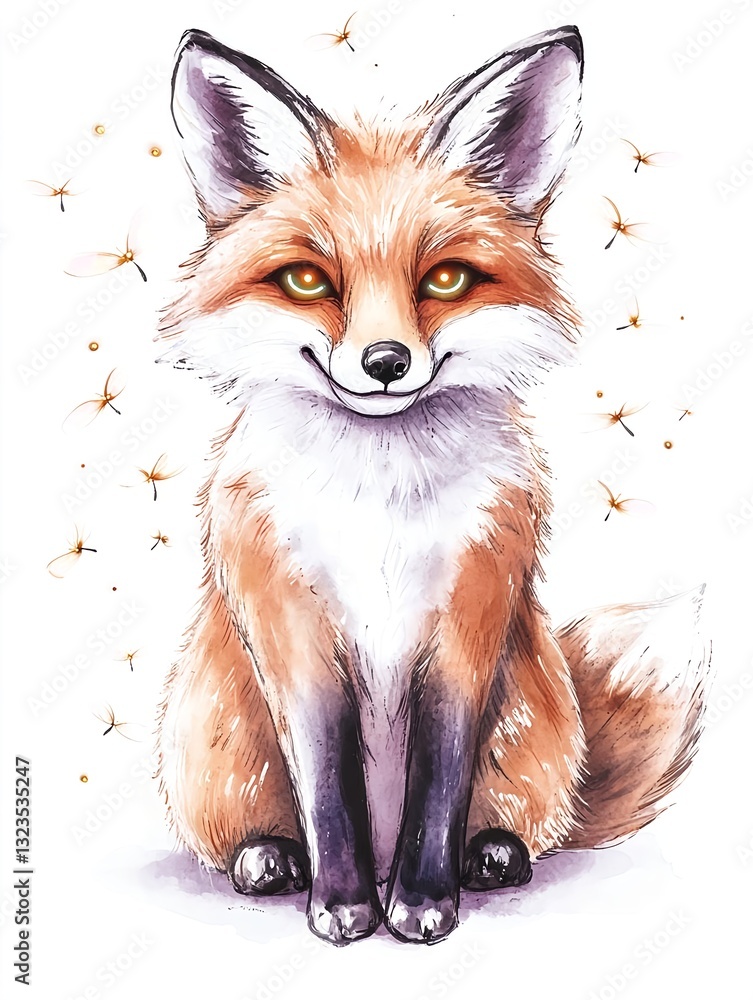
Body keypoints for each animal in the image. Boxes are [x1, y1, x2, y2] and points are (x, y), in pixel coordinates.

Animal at [155, 25, 709, 946]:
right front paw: (344, 907)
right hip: (213, 732)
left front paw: (420, 903)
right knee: (257, 829)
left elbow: (439, 783)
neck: (377, 506)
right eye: (308, 280)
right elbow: (327, 788)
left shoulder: (469, 618)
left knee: (519, 821)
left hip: (530, 724)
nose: (385, 363)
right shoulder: (290, 626)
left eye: (443, 279)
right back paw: (270, 861)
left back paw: (489, 856)